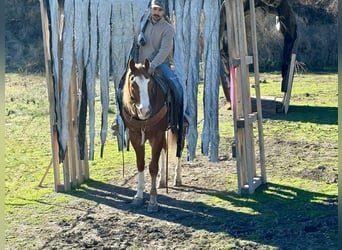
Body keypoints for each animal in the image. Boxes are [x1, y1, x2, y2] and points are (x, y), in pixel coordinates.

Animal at [120, 58, 184, 211]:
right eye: (133, 83)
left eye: (150, 84)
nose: (145, 111)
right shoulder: (135, 137)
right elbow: (140, 164)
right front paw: (138, 196)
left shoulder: (157, 135)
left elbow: (153, 167)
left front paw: (153, 201)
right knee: (164, 150)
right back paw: (162, 181)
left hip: (181, 127)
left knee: (180, 148)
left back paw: (177, 178)